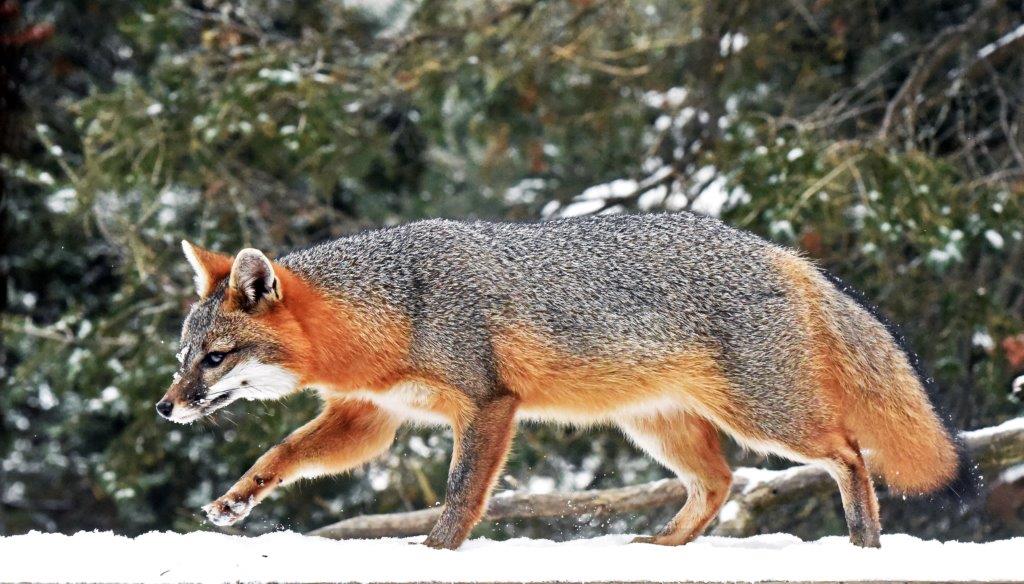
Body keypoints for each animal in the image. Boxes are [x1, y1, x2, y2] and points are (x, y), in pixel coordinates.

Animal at [156, 213, 975, 549]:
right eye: (182, 355)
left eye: (214, 359)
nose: (166, 408)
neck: (393, 312)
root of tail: (783, 254)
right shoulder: (371, 417)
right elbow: (282, 454)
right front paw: (235, 501)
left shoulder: (489, 405)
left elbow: (461, 494)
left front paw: (434, 554)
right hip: (658, 427)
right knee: (719, 483)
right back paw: (660, 549)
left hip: (769, 420)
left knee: (849, 455)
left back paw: (863, 544)